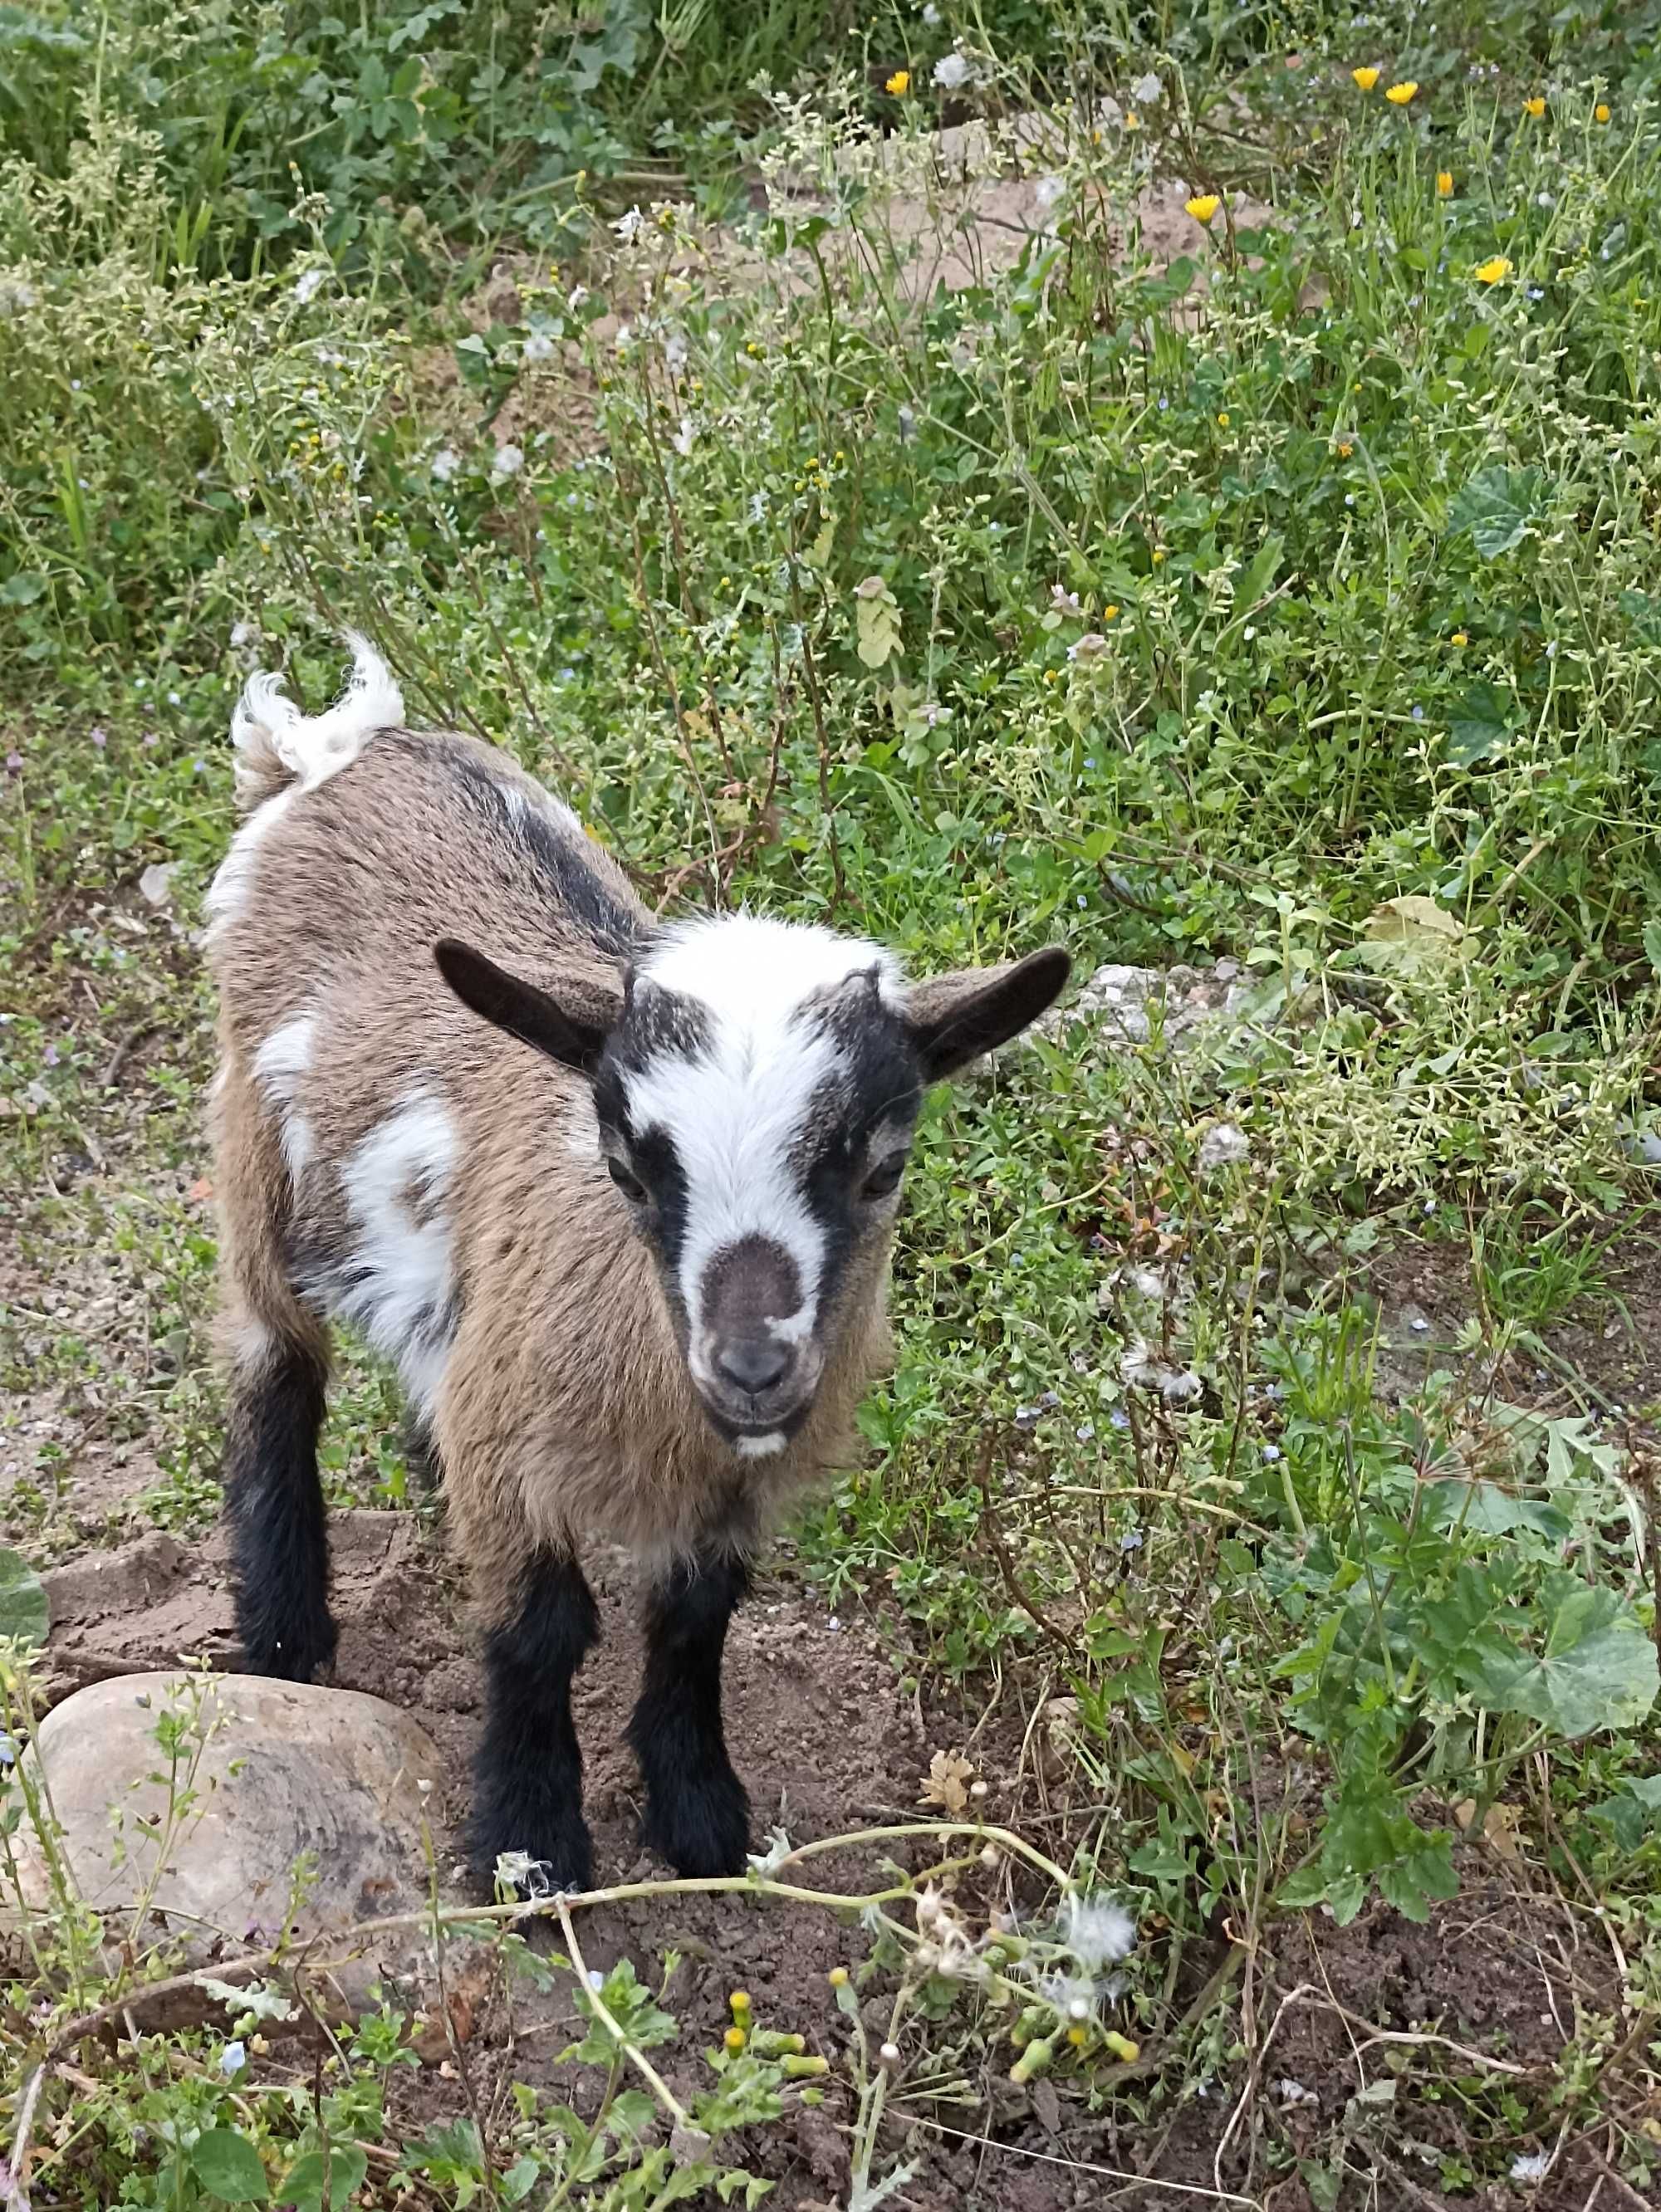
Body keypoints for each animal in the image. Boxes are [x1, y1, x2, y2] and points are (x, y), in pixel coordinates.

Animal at [211, 637, 1066, 1884]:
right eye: (626, 1165)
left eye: (882, 1167)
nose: (752, 1367)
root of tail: (340, 750)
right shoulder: (516, 1457)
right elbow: (538, 1632)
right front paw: (531, 1847)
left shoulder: (726, 1491)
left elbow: (697, 1620)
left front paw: (700, 1813)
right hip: (249, 1148)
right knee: (273, 1365)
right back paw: (283, 1633)